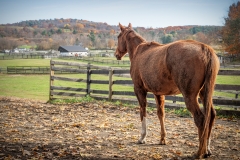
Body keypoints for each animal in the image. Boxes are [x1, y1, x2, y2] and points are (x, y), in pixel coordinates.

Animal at [115, 22, 220, 159]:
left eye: (118, 36)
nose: (116, 54)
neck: (140, 51)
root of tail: (204, 48)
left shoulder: (139, 90)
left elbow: (143, 112)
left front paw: (142, 137)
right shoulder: (158, 93)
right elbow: (161, 114)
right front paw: (162, 139)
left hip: (190, 96)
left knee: (201, 119)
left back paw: (199, 152)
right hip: (205, 93)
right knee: (211, 115)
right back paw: (207, 149)